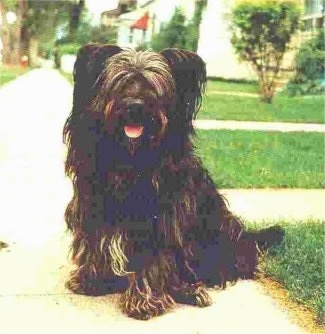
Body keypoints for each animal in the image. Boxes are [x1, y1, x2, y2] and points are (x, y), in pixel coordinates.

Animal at [63, 43, 284, 320]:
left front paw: (144, 301)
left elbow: (153, 260)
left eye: (152, 84)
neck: (130, 160)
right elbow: (94, 242)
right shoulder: (93, 206)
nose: (135, 106)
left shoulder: (161, 221)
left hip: (220, 232)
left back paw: (191, 289)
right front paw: (91, 280)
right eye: (121, 81)